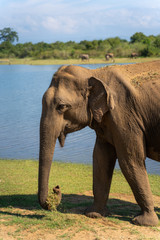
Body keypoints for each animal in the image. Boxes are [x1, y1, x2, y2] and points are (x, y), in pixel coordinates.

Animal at [38, 61, 160, 226]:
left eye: (61, 106)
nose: (56, 188)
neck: (94, 73)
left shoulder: (125, 116)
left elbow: (130, 161)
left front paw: (144, 222)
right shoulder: (107, 121)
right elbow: (101, 158)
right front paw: (93, 214)